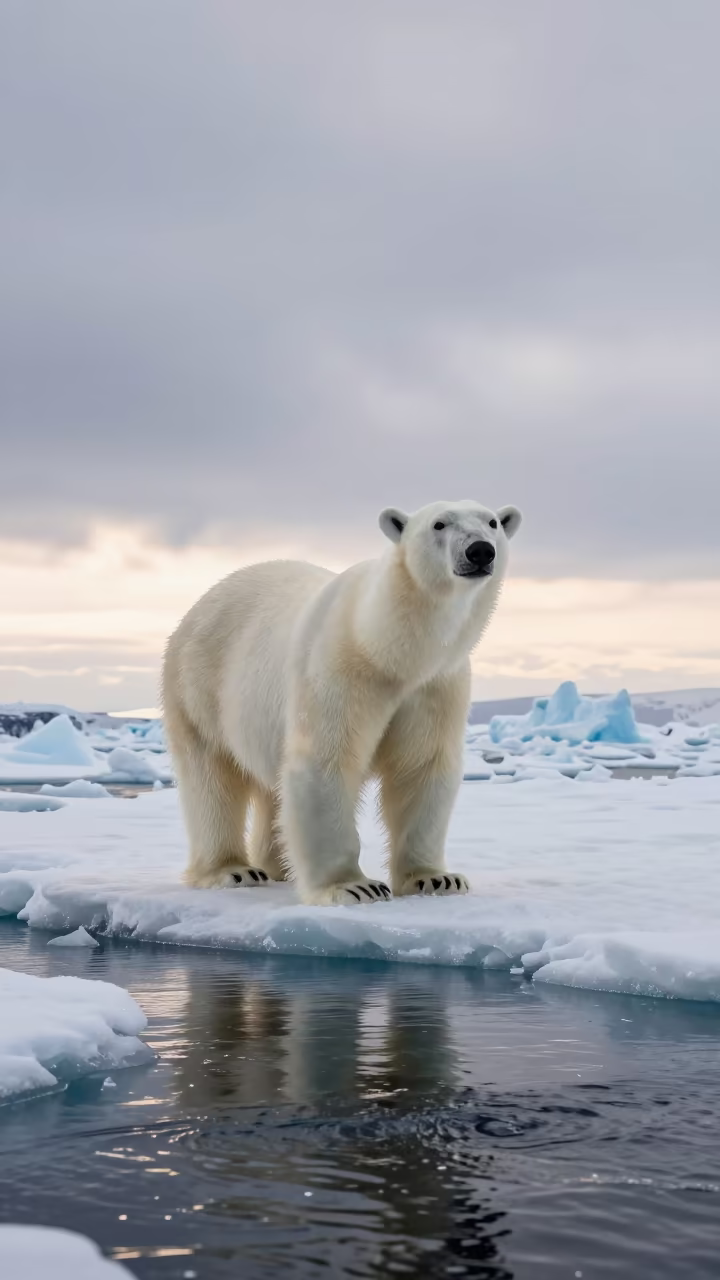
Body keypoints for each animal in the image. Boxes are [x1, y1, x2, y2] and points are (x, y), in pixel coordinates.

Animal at [162, 499, 522, 906]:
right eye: (439, 524)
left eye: (492, 522)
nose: (480, 551)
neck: (387, 650)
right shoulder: (339, 670)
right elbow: (326, 760)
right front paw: (354, 886)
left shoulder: (436, 686)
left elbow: (421, 767)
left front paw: (436, 879)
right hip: (198, 685)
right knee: (211, 777)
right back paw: (234, 870)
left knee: (273, 789)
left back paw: (279, 867)